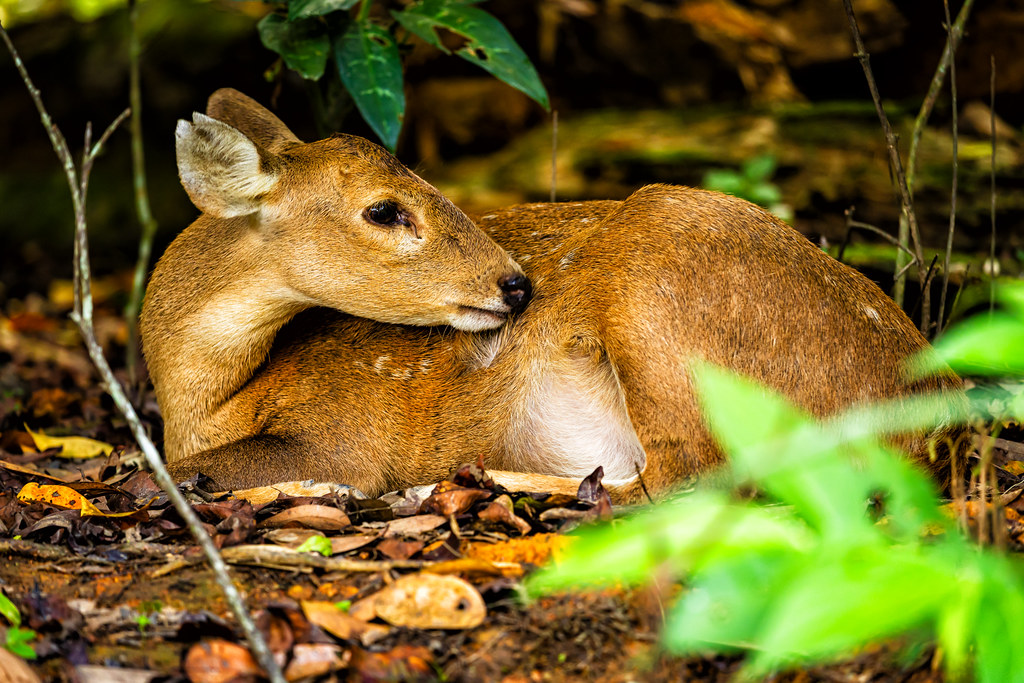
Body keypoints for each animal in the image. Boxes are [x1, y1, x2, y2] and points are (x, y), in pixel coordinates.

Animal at [141, 88, 966, 504]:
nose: (514, 282)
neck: (206, 403)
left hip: (661, 299)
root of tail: (935, 410)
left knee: (683, 479)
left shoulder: (343, 429)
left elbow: (171, 471)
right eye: (383, 209)